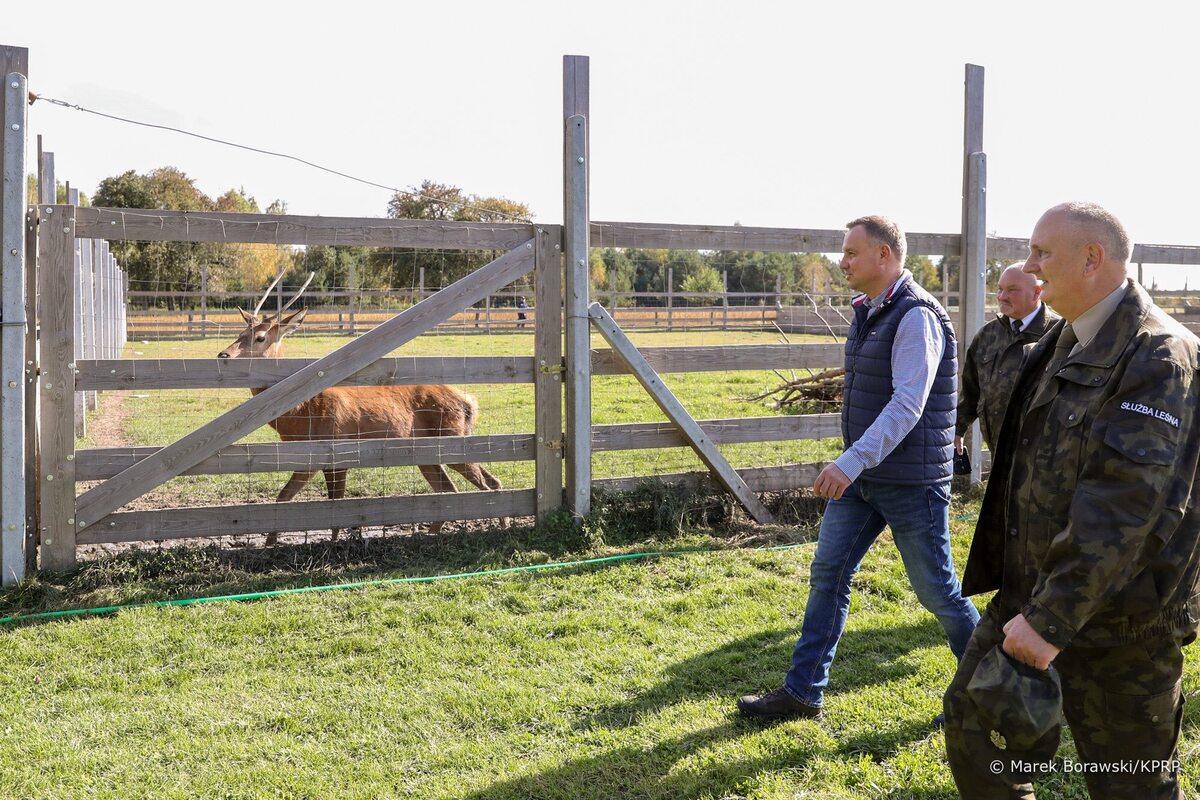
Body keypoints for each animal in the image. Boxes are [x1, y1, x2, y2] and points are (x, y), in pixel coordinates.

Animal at [216, 273, 506, 544]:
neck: (300, 414)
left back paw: (500, 528)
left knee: (490, 483)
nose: (223, 355)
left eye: (260, 337)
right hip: (430, 450)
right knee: (449, 489)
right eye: (240, 334)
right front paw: (270, 544)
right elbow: (292, 499)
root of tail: (470, 402)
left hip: (453, 438)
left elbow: (320, 504)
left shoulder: (329, 449)